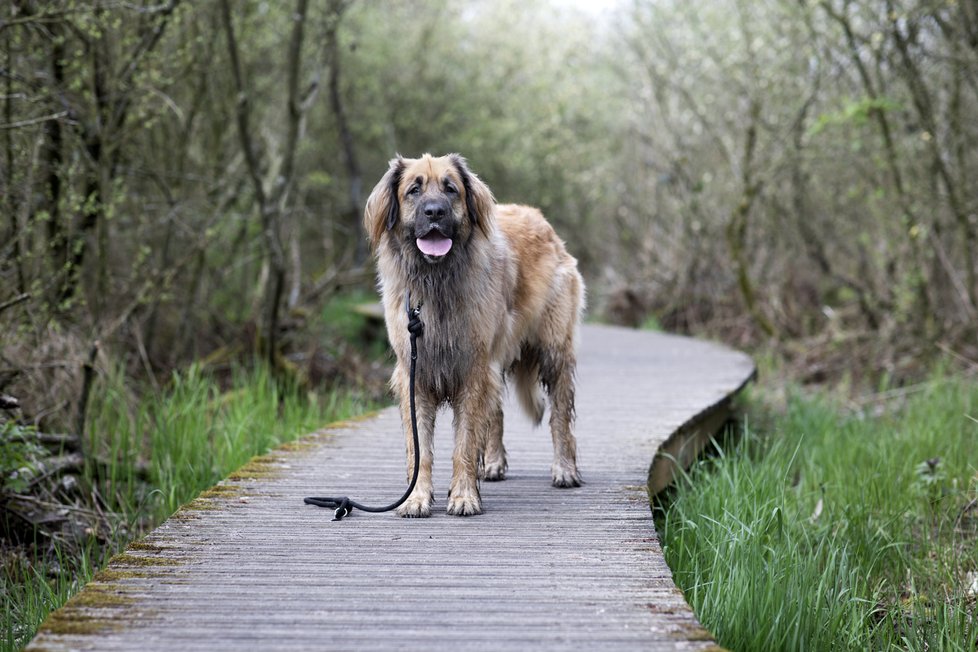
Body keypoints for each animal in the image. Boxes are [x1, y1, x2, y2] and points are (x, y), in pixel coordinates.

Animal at [364, 153, 580, 516]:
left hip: (553, 351)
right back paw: (493, 464)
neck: (435, 282)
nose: (434, 212)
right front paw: (416, 497)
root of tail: (538, 218)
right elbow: (419, 448)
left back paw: (565, 469)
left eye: (450, 189)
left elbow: (465, 441)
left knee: (560, 416)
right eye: (414, 190)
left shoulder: (472, 369)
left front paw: (464, 495)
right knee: (496, 413)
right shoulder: (415, 373)